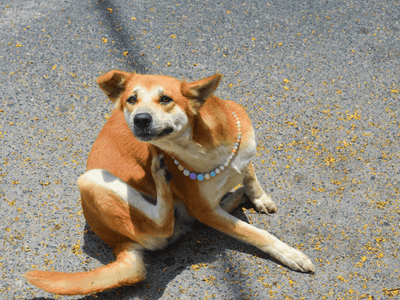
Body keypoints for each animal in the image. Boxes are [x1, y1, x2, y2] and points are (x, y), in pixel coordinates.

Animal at [25, 70, 316, 296]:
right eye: (132, 99)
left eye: (165, 99)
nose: (141, 119)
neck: (204, 148)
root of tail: (118, 245)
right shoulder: (203, 208)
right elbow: (256, 233)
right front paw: (290, 254)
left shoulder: (242, 155)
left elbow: (249, 172)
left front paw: (258, 196)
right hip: (91, 178)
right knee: (165, 223)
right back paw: (160, 174)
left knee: (186, 222)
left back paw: (234, 197)